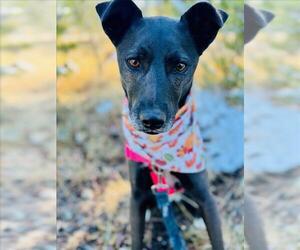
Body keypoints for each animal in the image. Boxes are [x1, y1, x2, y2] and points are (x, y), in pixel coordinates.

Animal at [96, 0, 227, 249]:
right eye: (134, 62)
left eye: (180, 66)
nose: (152, 121)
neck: (160, 148)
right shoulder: (137, 197)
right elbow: (136, 239)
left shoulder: (206, 197)